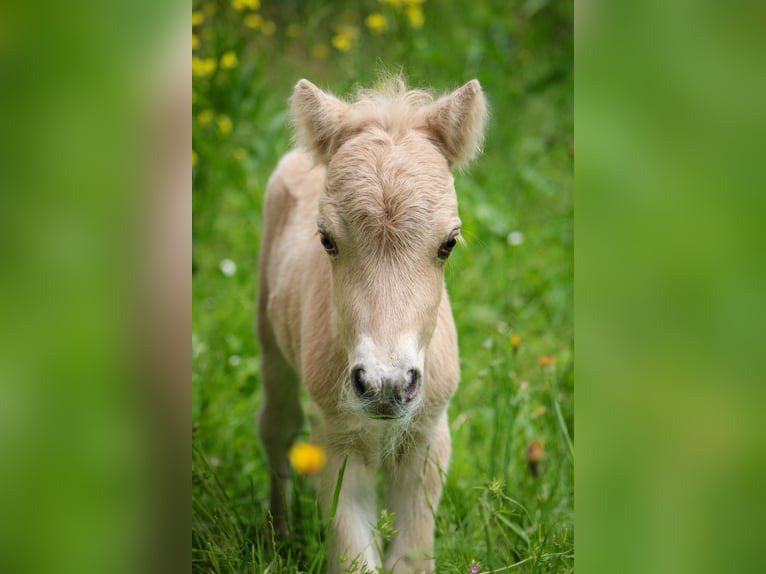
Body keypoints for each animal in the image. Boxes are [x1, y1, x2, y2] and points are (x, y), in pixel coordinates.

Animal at [258, 77, 486, 574]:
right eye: (326, 239)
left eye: (449, 243)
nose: (385, 384)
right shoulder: (335, 443)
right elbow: (354, 558)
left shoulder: (428, 441)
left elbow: (411, 558)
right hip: (270, 345)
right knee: (276, 428)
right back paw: (278, 536)